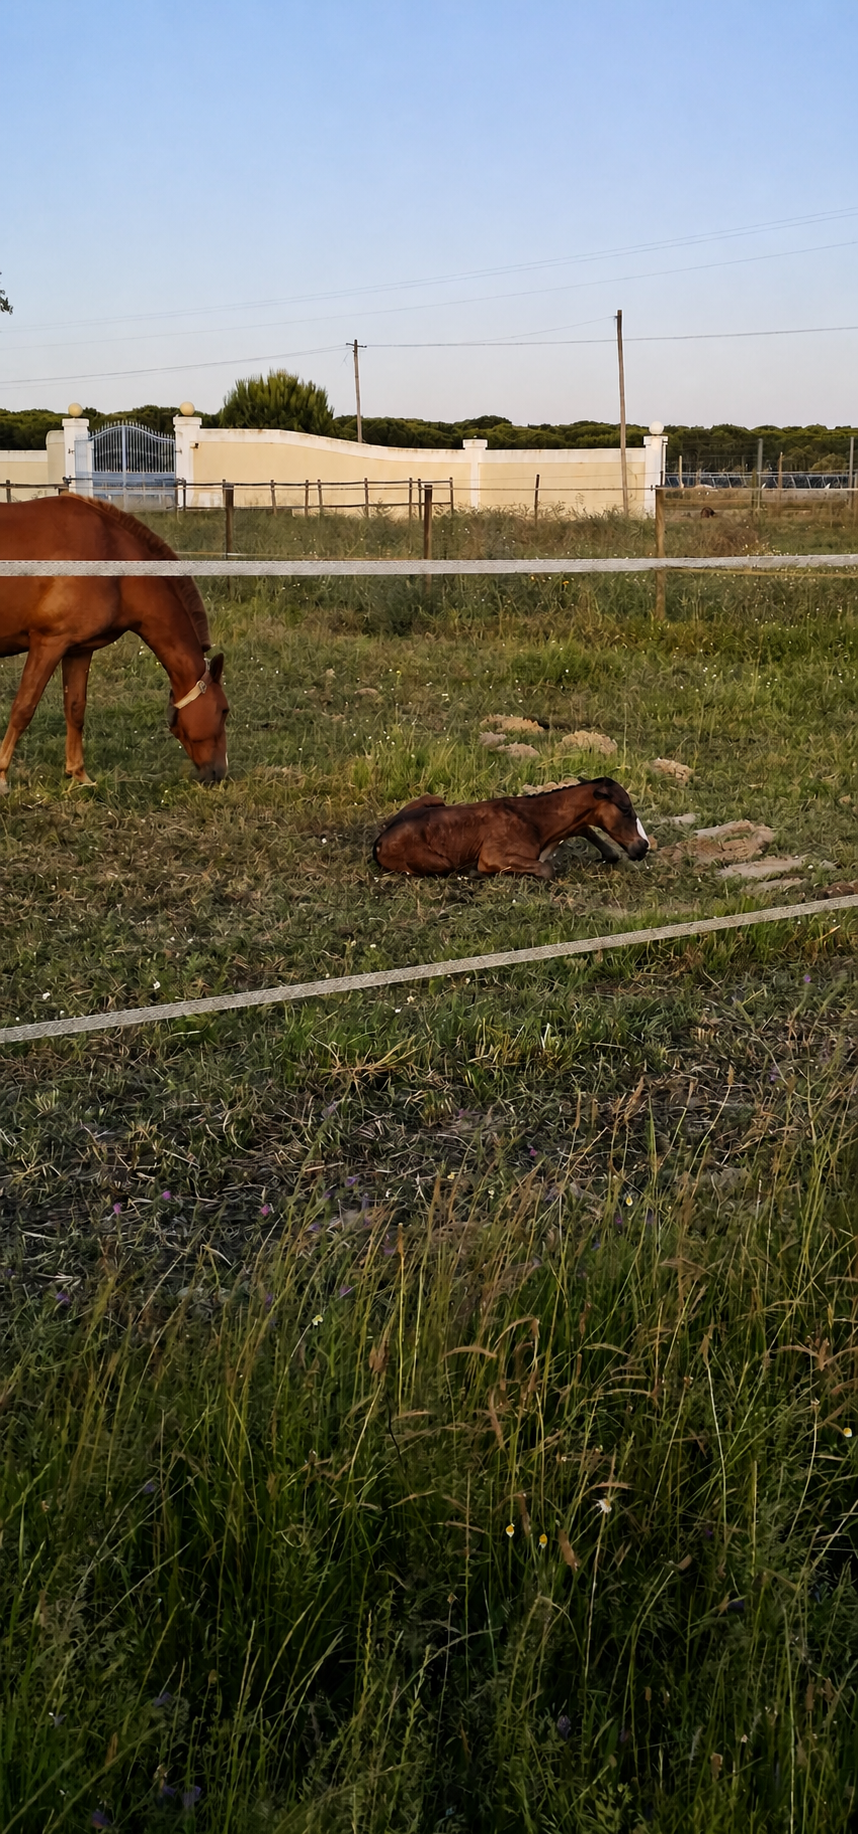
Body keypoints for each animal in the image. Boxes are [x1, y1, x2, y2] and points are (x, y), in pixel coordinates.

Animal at [0, 495, 228, 790]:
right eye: (223, 710)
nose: (220, 772)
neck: (111, 553)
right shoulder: (48, 643)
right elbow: (23, 708)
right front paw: (2, 776)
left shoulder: (77, 649)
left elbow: (75, 708)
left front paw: (79, 774)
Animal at [373, 778, 650, 880]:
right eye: (625, 808)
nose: (643, 846)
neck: (538, 822)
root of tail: (380, 840)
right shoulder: (491, 856)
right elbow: (547, 868)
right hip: (440, 863)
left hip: (434, 798)